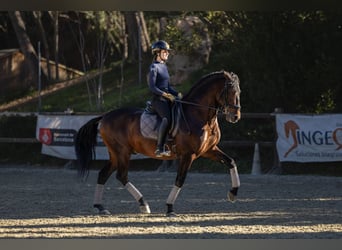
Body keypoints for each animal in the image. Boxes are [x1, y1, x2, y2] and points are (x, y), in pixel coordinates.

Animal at [74, 69, 240, 216]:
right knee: (121, 176)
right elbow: (180, 179)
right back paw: (143, 204)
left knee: (103, 174)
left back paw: (100, 207)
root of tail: (105, 116)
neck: (198, 115)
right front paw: (170, 208)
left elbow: (231, 161)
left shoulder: (209, 150)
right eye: (230, 92)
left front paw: (233, 193)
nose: (235, 117)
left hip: (115, 154)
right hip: (122, 152)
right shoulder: (188, 155)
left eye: (239, 92)